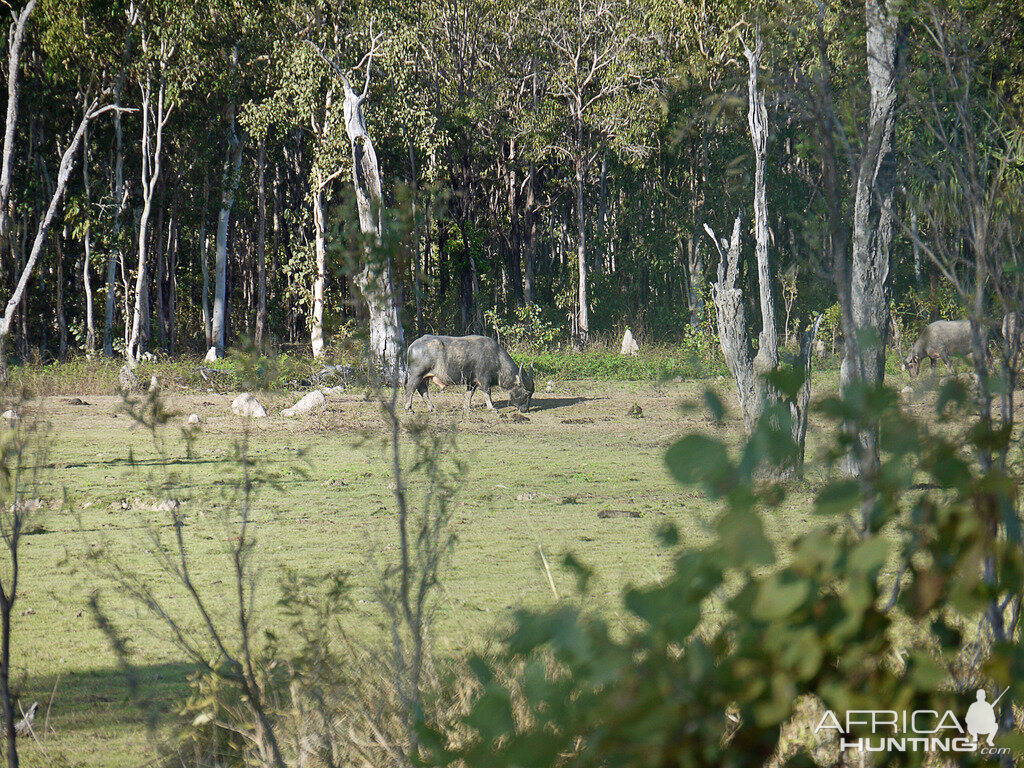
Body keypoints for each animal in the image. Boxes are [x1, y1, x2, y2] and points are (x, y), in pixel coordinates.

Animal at [405, 333, 540, 411]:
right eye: (527, 394)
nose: (526, 410)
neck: (497, 359)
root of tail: (411, 346)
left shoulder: (472, 381)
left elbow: (469, 394)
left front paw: (467, 407)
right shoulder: (484, 379)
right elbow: (487, 393)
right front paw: (492, 408)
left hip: (425, 377)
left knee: (423, 391)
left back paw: (432, 408)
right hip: (417, 374)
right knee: (410, 389)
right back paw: (409, 409)